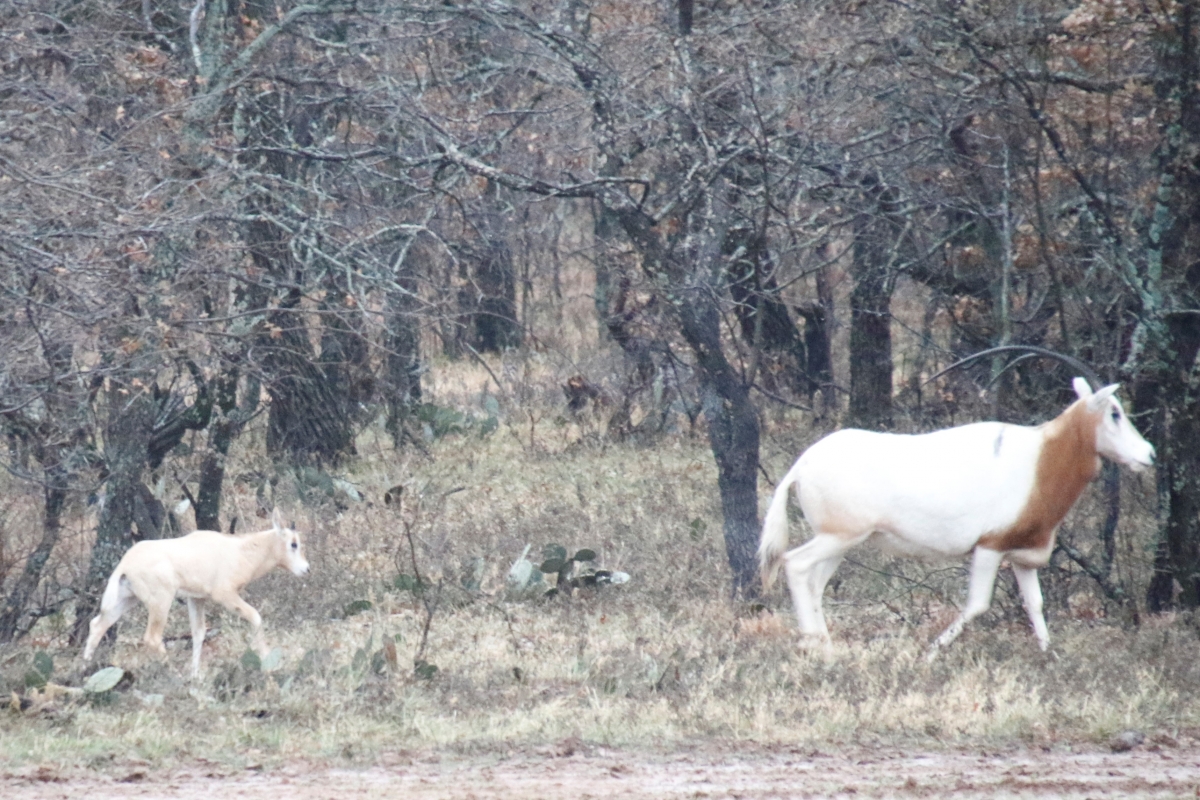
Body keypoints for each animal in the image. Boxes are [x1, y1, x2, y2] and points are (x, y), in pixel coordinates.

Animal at [82, 513, 309, 676]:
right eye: (293, 543)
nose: (306, 569)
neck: (239, 549)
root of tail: (125, 563)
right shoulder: (225, 595)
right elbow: (255, 617)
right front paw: (269, 662)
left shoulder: (196, 598)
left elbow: (198, 633)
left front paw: (196, 675)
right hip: (161, 602)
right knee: (152, 638)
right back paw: (173, 672)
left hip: (127, 599)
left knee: (97, 625)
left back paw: (84, 669)